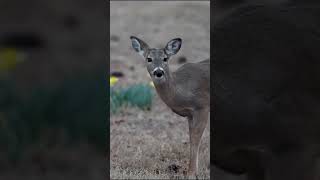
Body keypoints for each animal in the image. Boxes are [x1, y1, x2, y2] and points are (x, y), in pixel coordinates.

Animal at [130, 35, 210, 176]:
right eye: (149, 59)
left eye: (165, 58)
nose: (159, 72)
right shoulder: (190, 114)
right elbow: (191, 137)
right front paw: (194, 170)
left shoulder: (203, 106)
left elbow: (196, 138)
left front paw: (191, 173)